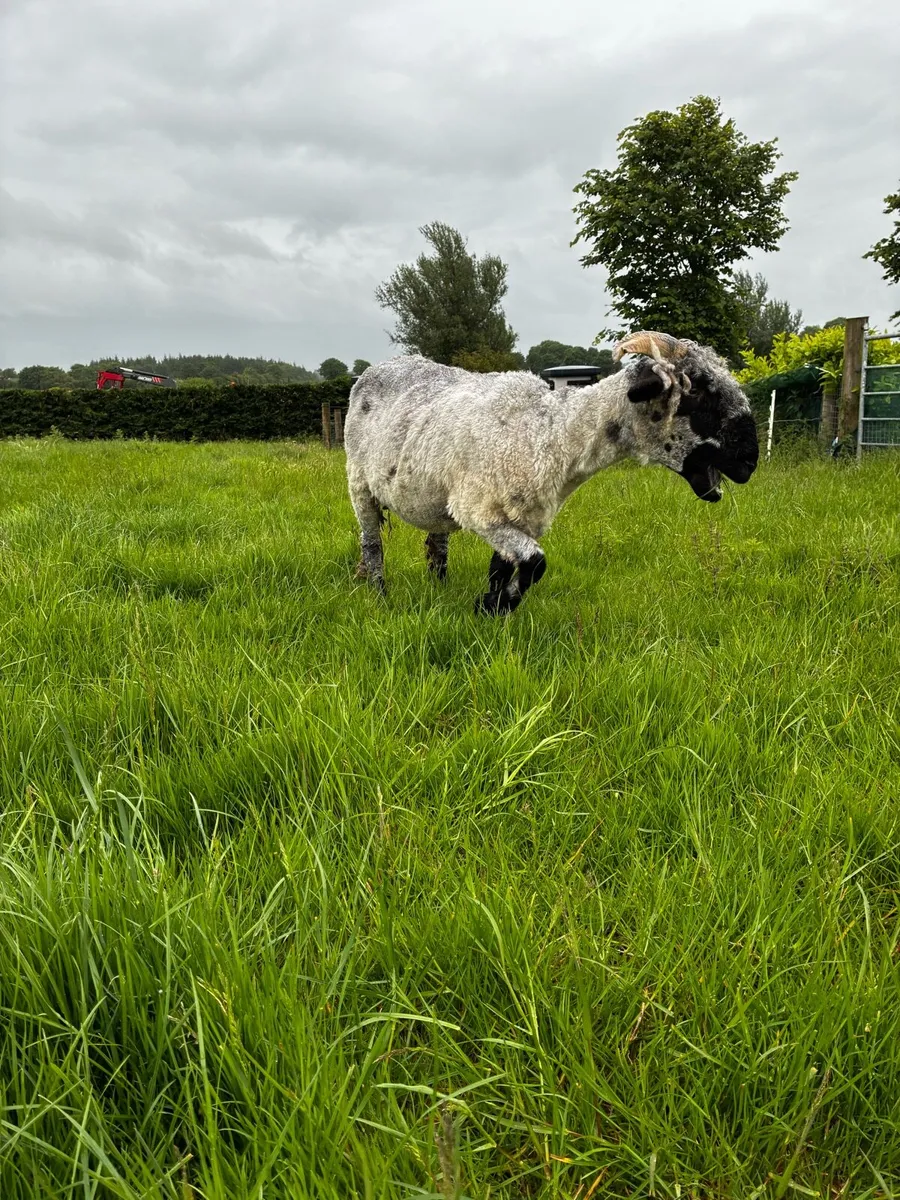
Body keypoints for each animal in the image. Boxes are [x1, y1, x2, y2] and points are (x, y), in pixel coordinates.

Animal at [344, 331, 759, 614]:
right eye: (699, 390)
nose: (749, 462)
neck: (550, 433)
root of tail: (376, 369)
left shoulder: (524, 517)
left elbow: (502, 567)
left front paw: (489, 607)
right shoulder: (478, 510)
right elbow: (535, 563)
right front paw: (497, 606)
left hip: (432, 495)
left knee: (436, 545)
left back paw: (438, 586)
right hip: (359, 482)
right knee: (372, 544)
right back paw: (379, 595)